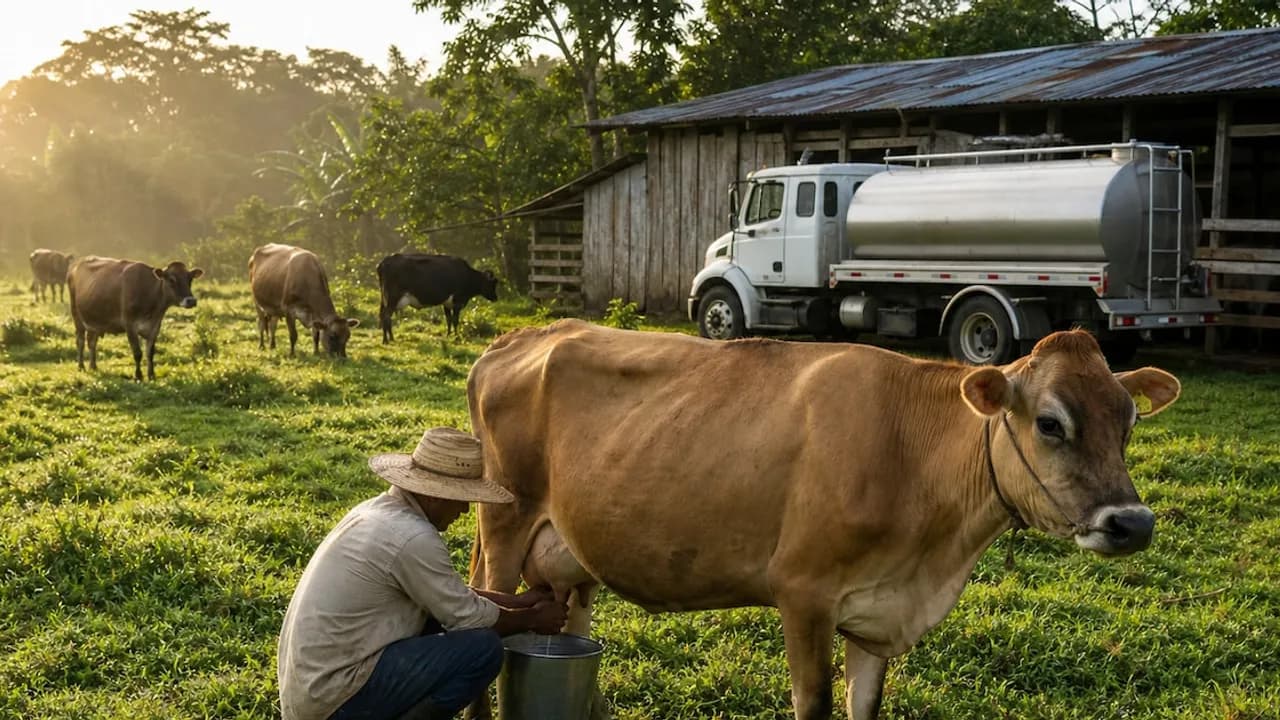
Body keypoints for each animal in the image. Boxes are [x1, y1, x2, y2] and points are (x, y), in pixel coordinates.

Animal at [67, 256, 203, 381]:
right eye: (171, 279)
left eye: (190, 279)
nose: (191, 301)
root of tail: (77, 265)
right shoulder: (130, 325)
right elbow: (137, 353)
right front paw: (138, 376)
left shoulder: (155, 326)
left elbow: (150, 353)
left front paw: (151, 375)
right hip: (77, 316)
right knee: (80, 341)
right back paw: (81, 366)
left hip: (95, 321)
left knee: (91, 342)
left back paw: (93, 366)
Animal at [464, 321, 1182, 720]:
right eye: (1050, 422)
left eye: (1129, 421)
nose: (1133, 524)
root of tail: (522, 336)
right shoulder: (803, 594)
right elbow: (813, 705)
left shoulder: (877, 616)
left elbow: (865, 706)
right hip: (507, 519)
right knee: (487, 615)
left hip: (569, 553)